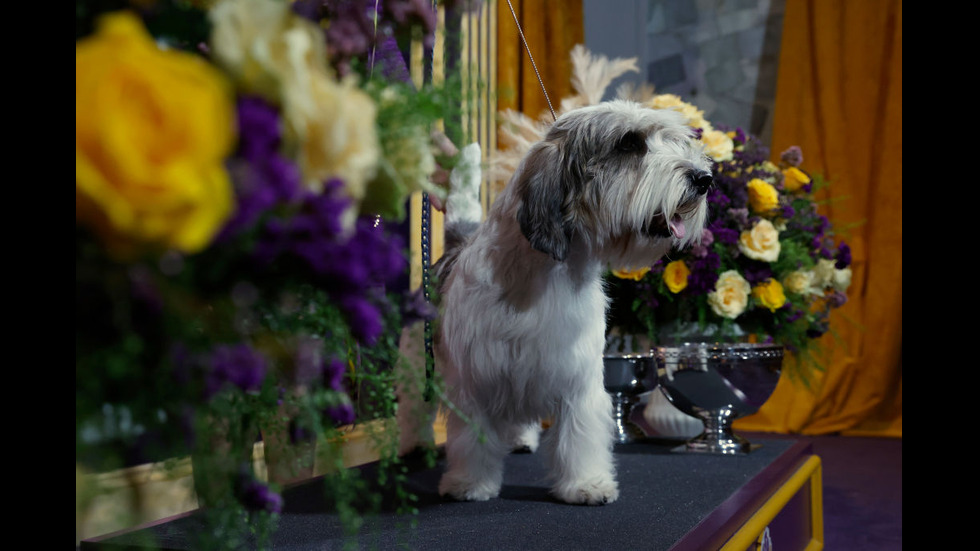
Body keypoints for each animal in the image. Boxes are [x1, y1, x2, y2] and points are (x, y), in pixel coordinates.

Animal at [398, 101, 712, 506]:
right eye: (629, 144)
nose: (704, 178)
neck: (547, 276)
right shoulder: (476, 379)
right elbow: (472, 439)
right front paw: (469, 484)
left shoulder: (577, 379)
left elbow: (579, 436)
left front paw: (586, 484)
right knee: (414, 411)